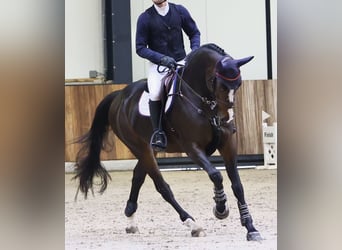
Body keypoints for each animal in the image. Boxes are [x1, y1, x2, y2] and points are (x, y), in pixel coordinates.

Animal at [74, 44, 262, 241]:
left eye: (238, 84)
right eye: (216, 82)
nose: (226, 118)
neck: (203, 101)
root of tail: (119, 96)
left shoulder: (227, 144)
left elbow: (237, 185)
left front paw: (250, 228)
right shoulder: (191, 147)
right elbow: (216, 175)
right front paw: (220, 208)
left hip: (149, 150)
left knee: (138, 176)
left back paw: (131, 220)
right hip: (140, 148)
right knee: (162, 187)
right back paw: (193, 224)